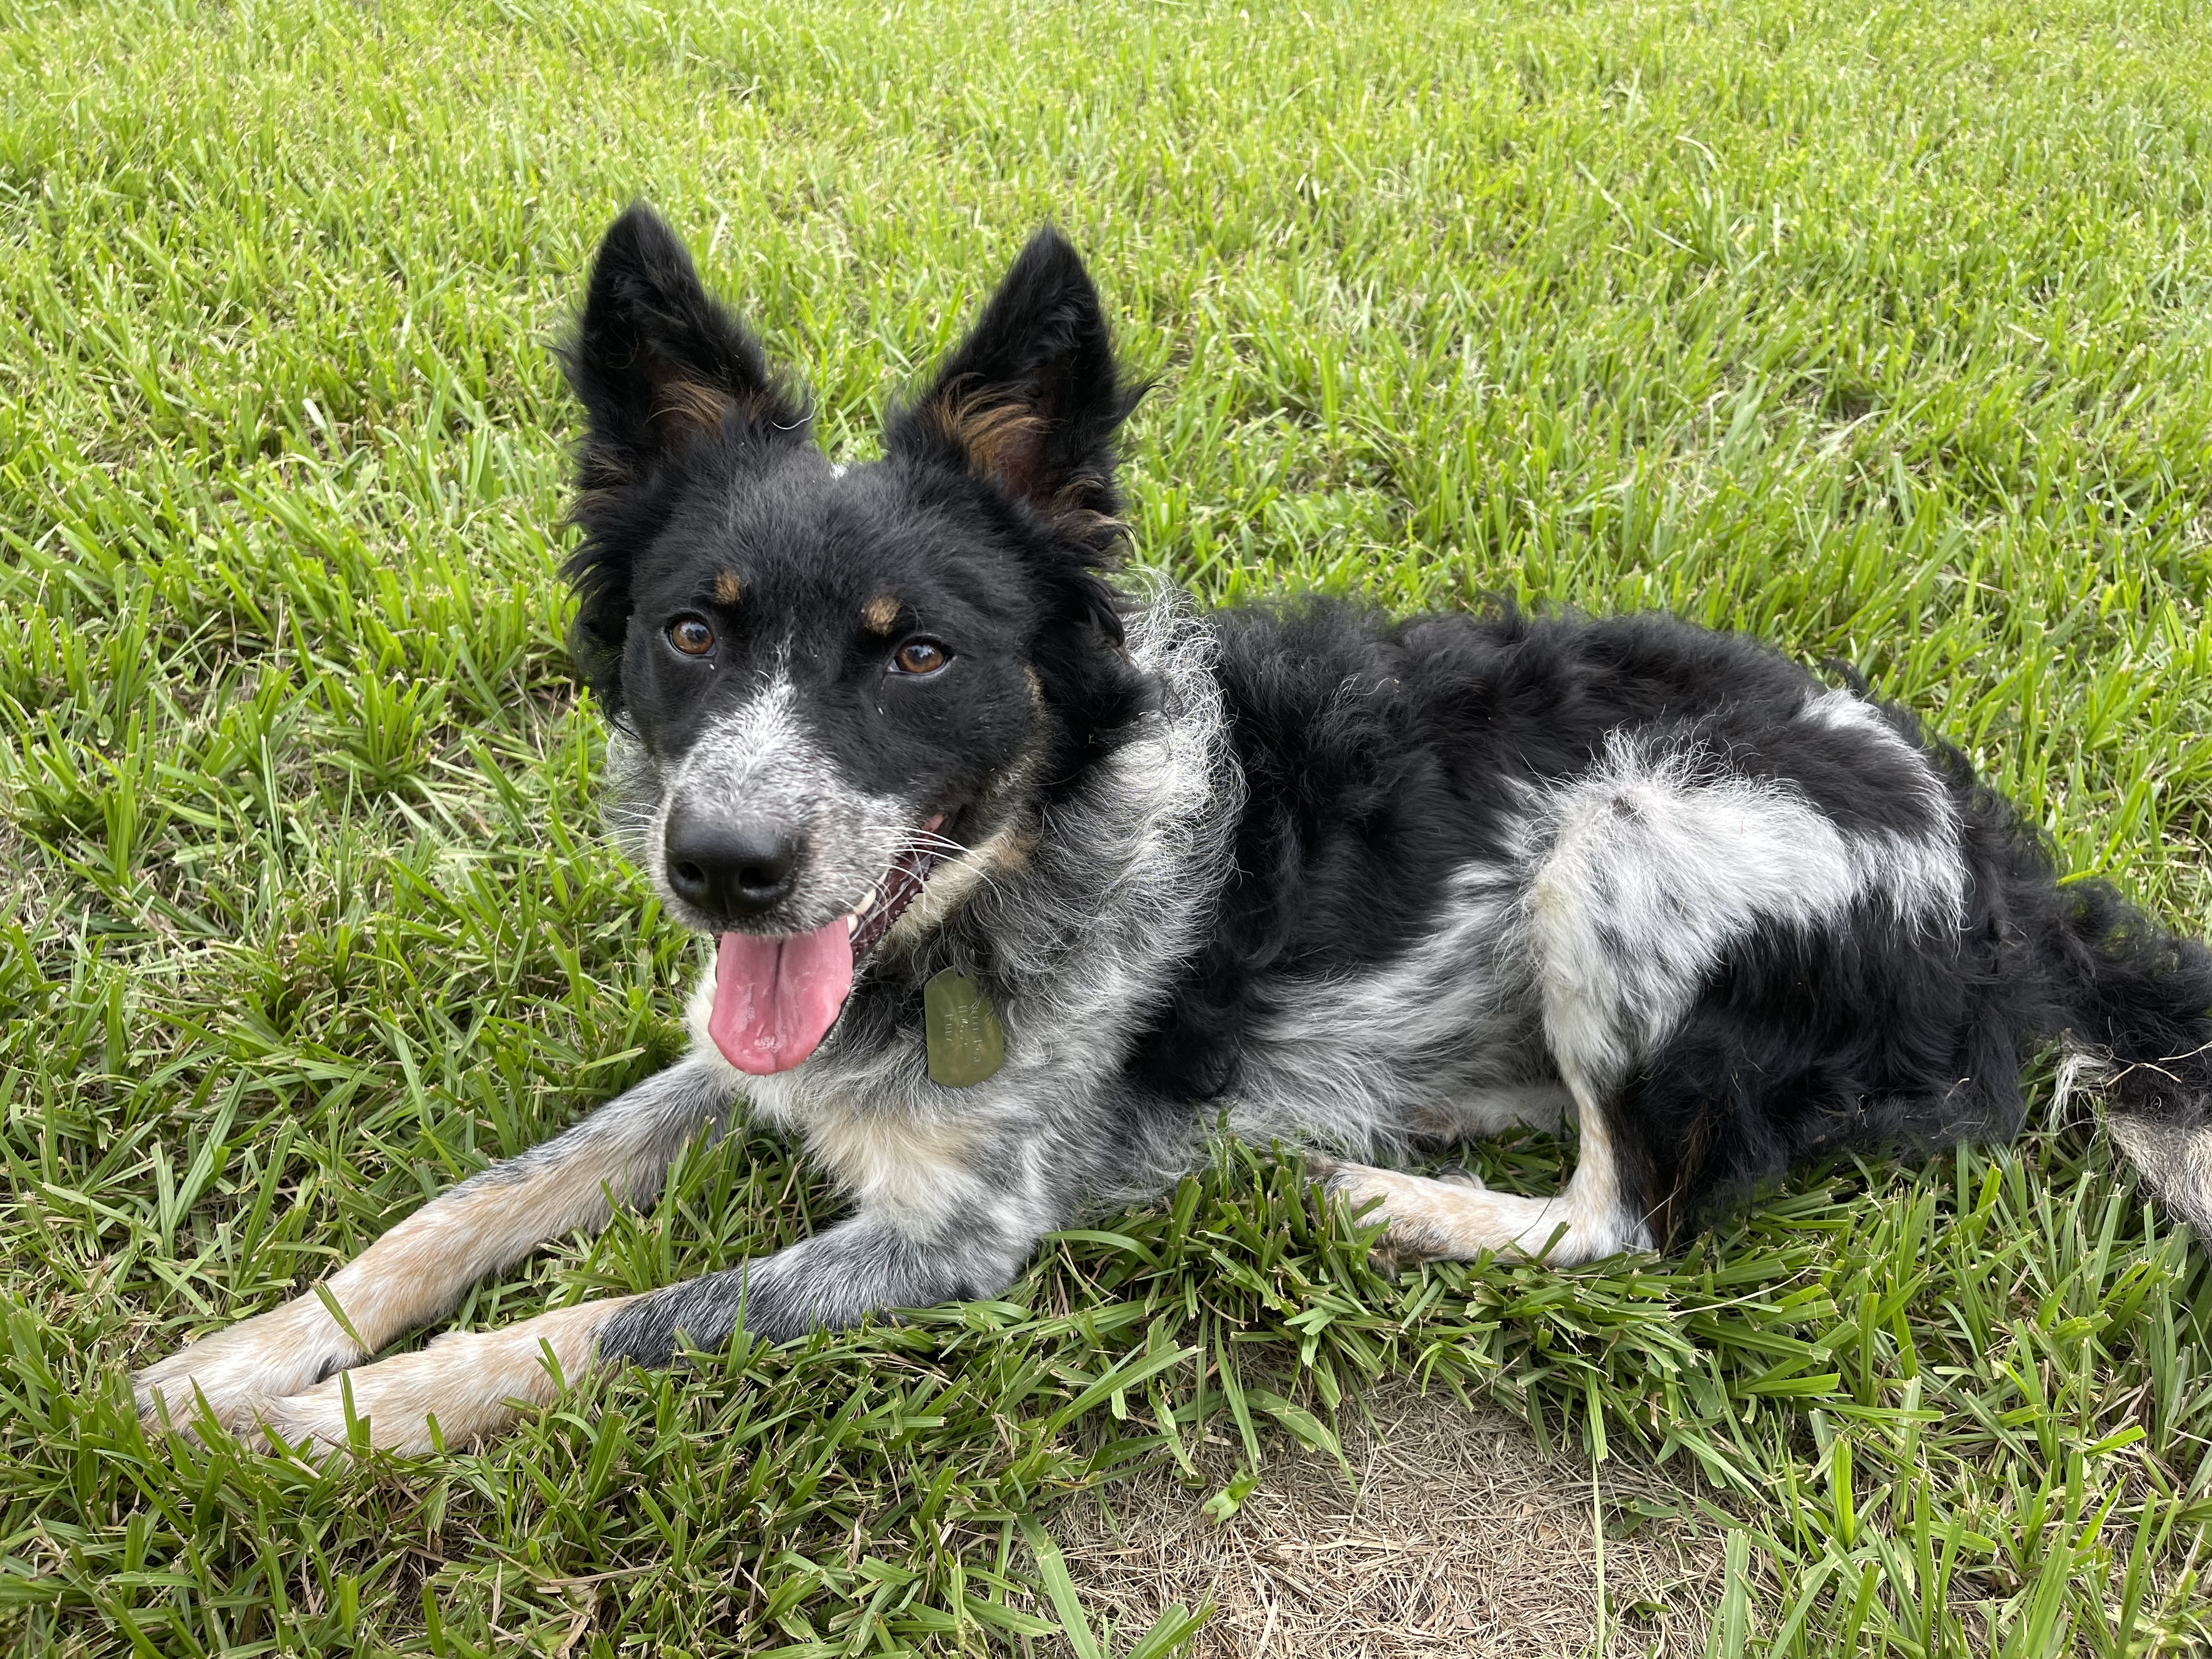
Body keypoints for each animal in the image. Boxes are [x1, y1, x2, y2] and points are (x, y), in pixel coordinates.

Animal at [133, 204, 2212, 1451]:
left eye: (920, 654)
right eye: (692, 631)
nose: (721, 867)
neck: (993, 890)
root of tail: (2006, 873)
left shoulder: (953, 1241)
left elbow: (599, 1324)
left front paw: (321, 1431)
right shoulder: (742, 1052)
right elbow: (468, 1206)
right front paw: (247, 1350)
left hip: (1631, 846)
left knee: (1630, 1224)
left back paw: (1386, 1196)